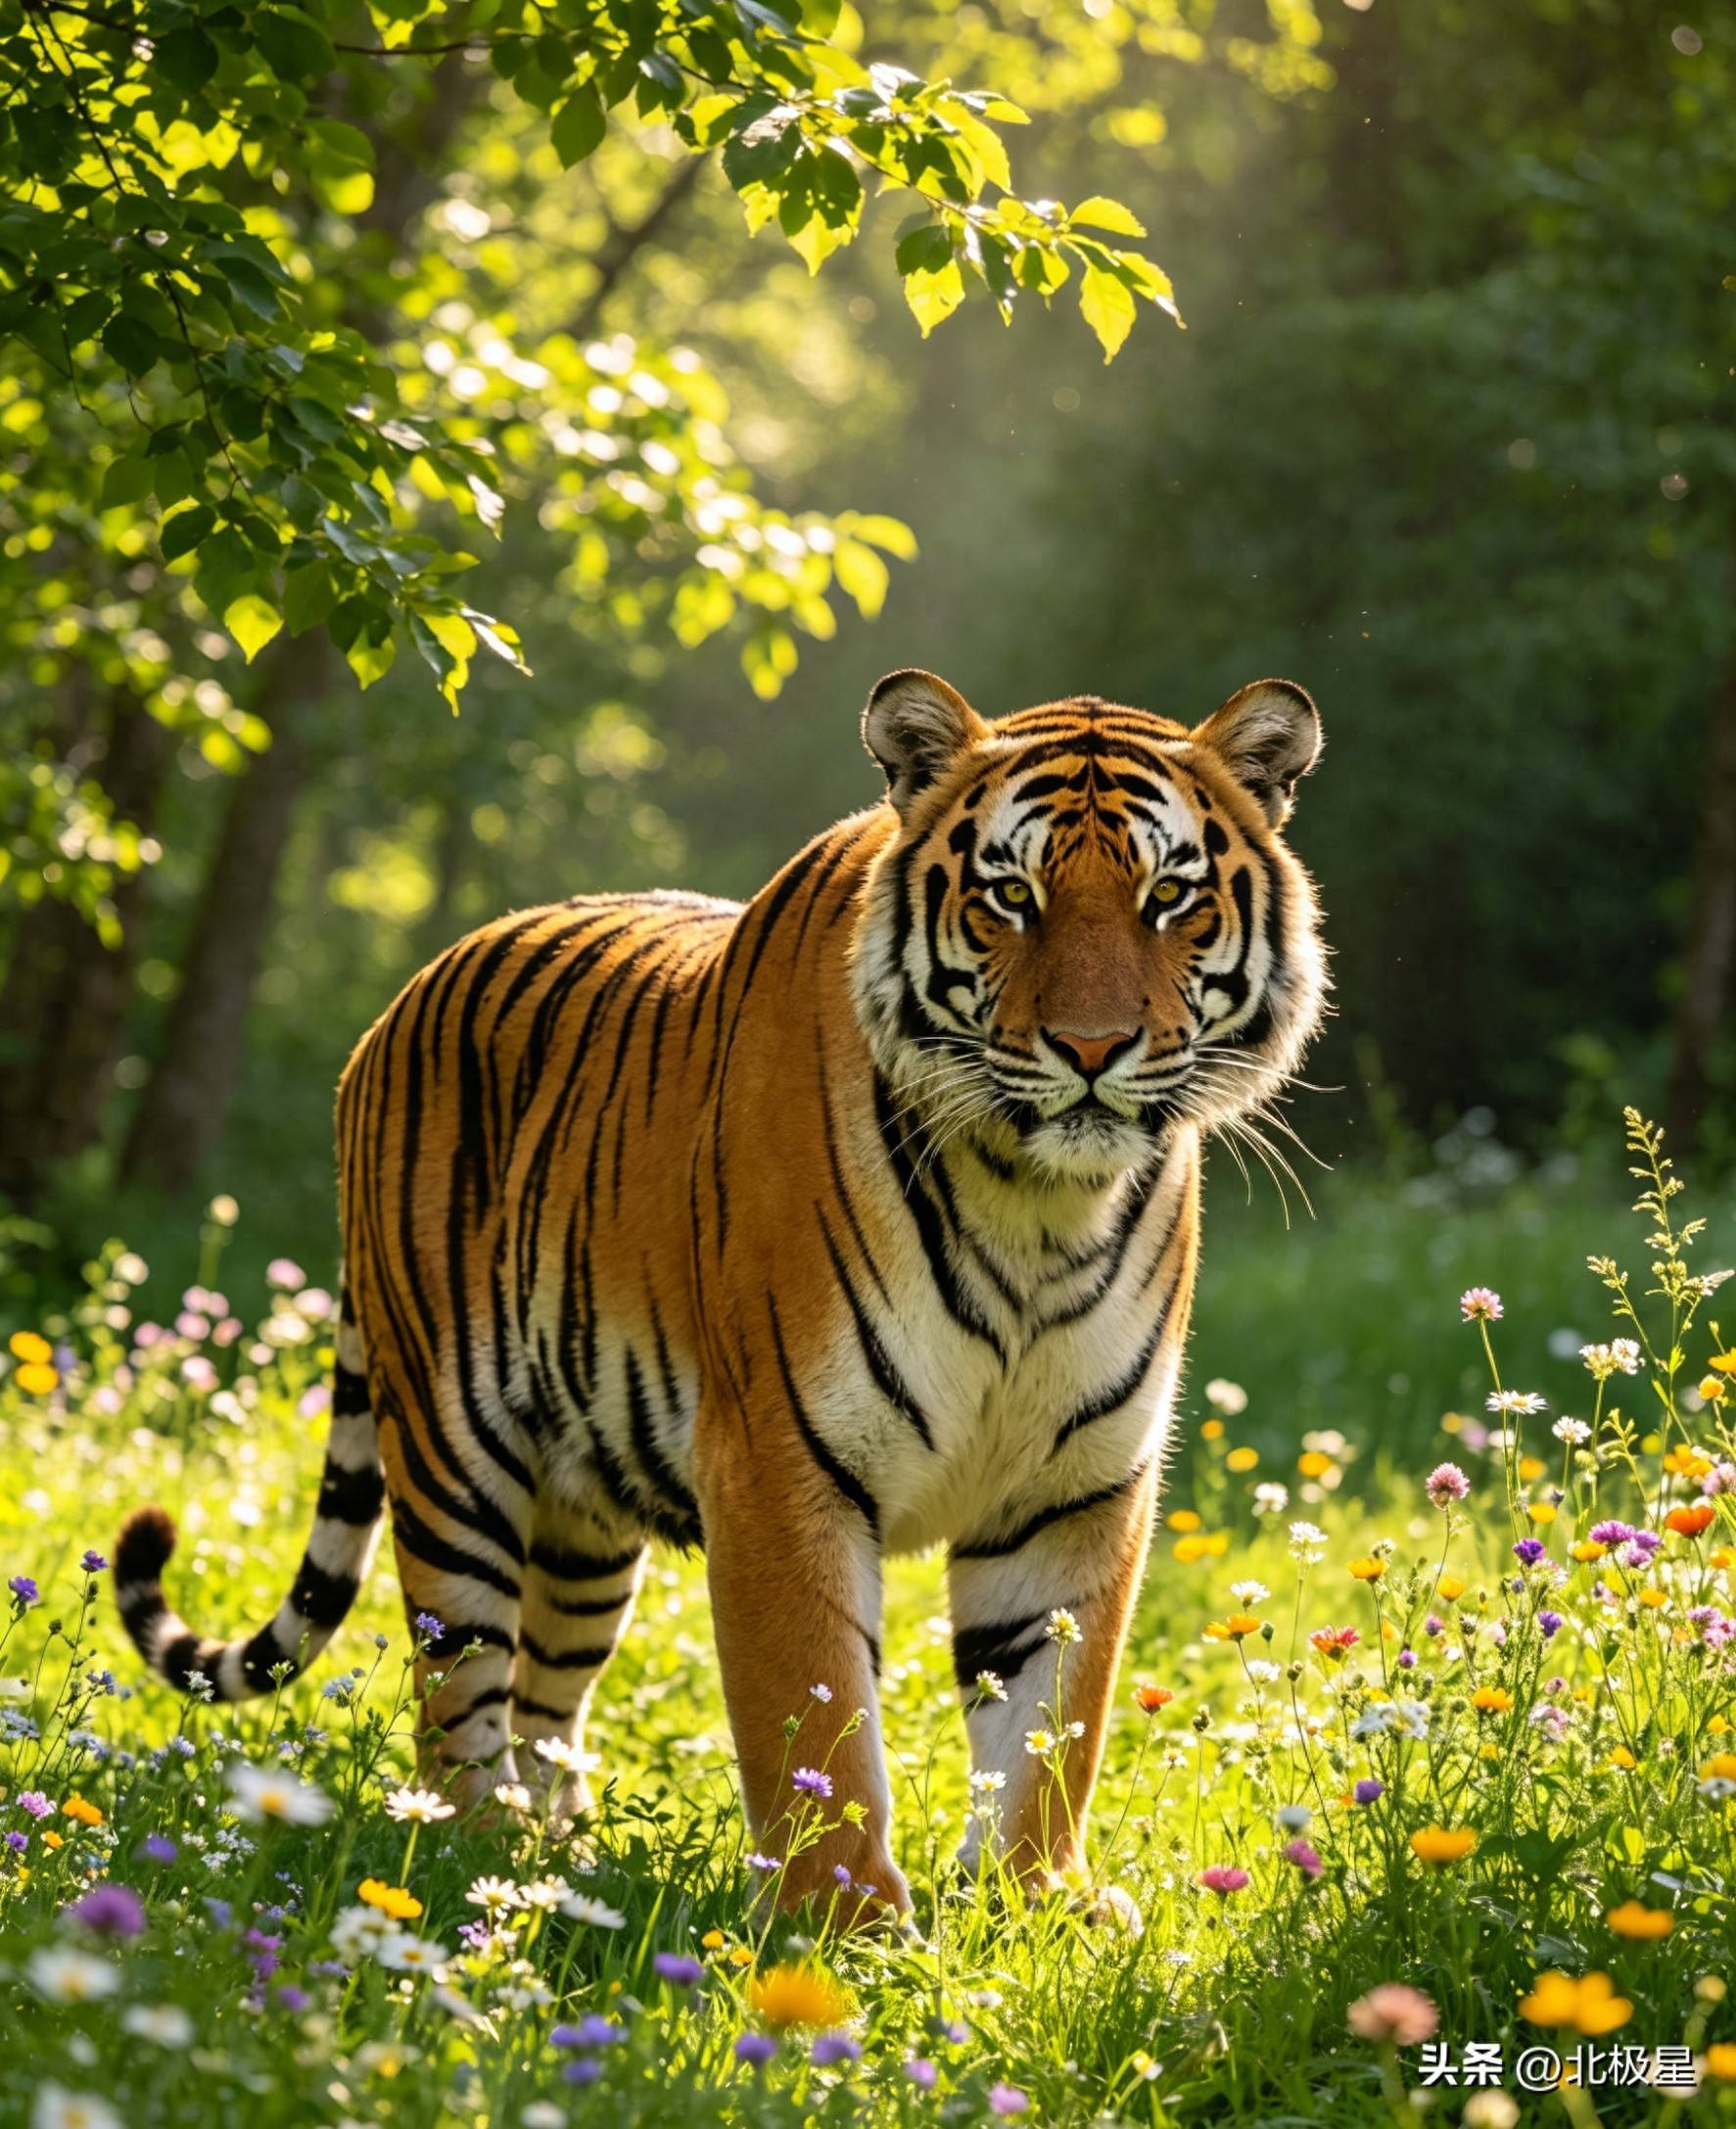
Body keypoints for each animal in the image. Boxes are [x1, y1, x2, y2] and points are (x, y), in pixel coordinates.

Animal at [115, 667, 1325, 1921]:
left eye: (1169, 896)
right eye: (1010, 896)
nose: (1092, 1047)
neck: (1038, 1206)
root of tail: (391, 1012)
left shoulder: (1076, 1484)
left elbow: (1052, 1723)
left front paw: (1033, 1900)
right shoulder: (782, 1456)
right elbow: (816, 1714)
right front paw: (842, 1921)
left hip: (585, 1521)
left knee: (546, 1690)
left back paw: (559, 1852)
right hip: (453, 1458)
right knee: (456, 1691)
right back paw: (472, 1857)